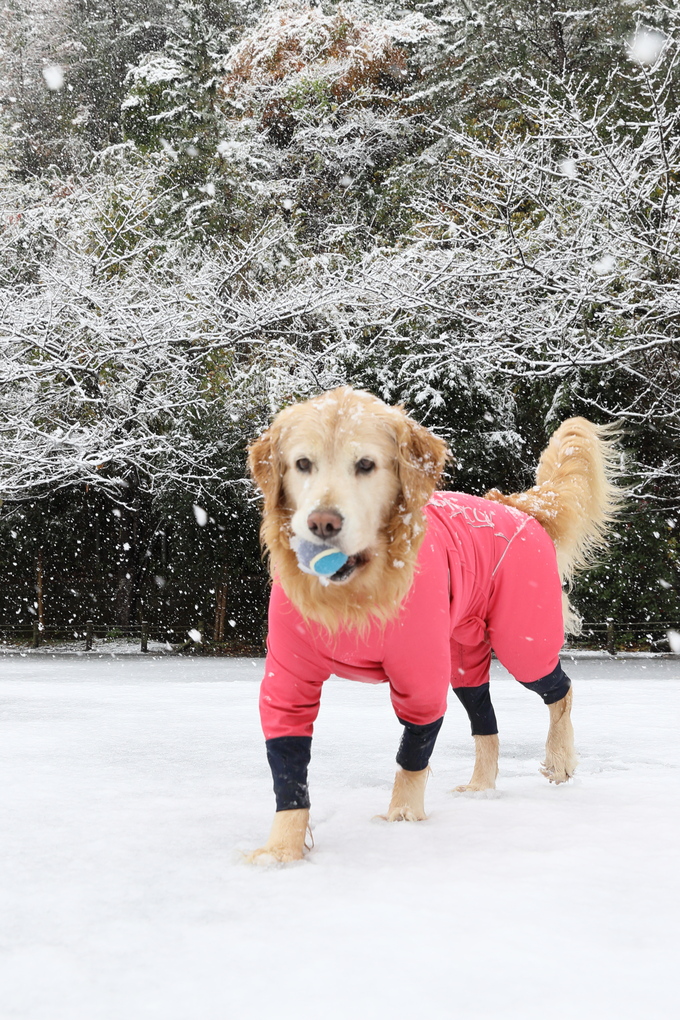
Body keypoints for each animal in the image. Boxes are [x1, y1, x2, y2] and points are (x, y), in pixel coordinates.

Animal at [247, 383, 619, 860]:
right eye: (302, 464)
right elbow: (288, 766)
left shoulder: (421, 678)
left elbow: (412, 755)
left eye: (366, 464)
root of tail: (520, 506)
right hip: (464, 656)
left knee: (561, 690)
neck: (354, 594)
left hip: (522, 639)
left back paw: (558, 760)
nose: (322, 523)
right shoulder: (288, 681)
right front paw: (281, 851)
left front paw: (402, 821)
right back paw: (482, 787)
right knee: (485, 720)